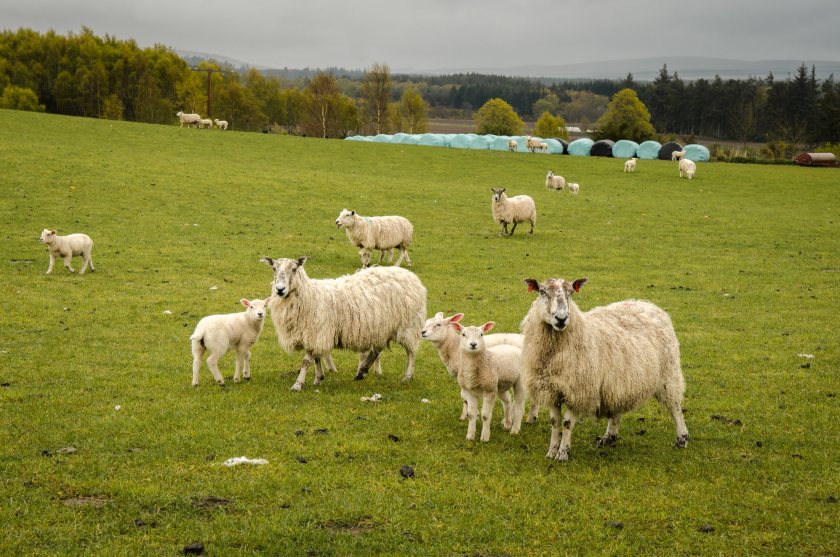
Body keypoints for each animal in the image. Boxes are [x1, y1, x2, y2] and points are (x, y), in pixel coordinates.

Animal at [260, 256, 426, 390]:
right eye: (274, 269)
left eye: (294, 269)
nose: (280, 289)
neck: (309, 295)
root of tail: (411, 276)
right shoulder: (315, 334)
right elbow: (316, 358)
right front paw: (318, 378)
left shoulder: (317, 331)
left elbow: (306, 361)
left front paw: (298, 384)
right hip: (382, 327)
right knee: (378, 348)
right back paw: (362, 371)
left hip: (409, 325)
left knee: (411, 352)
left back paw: (407, 376)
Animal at [520, 274, 688, 460]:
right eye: (542, 292)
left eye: (571, 292)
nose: (561, 319)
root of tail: (649, 305)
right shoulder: (553, 389)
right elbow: (555, 422)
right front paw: (551, 452)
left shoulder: (578, 390)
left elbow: (567, 423)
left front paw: (563, 453)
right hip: (619, 381)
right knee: (618, 406)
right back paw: (609, 437)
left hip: (668, 374)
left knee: (675, 406)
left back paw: (682, 439)